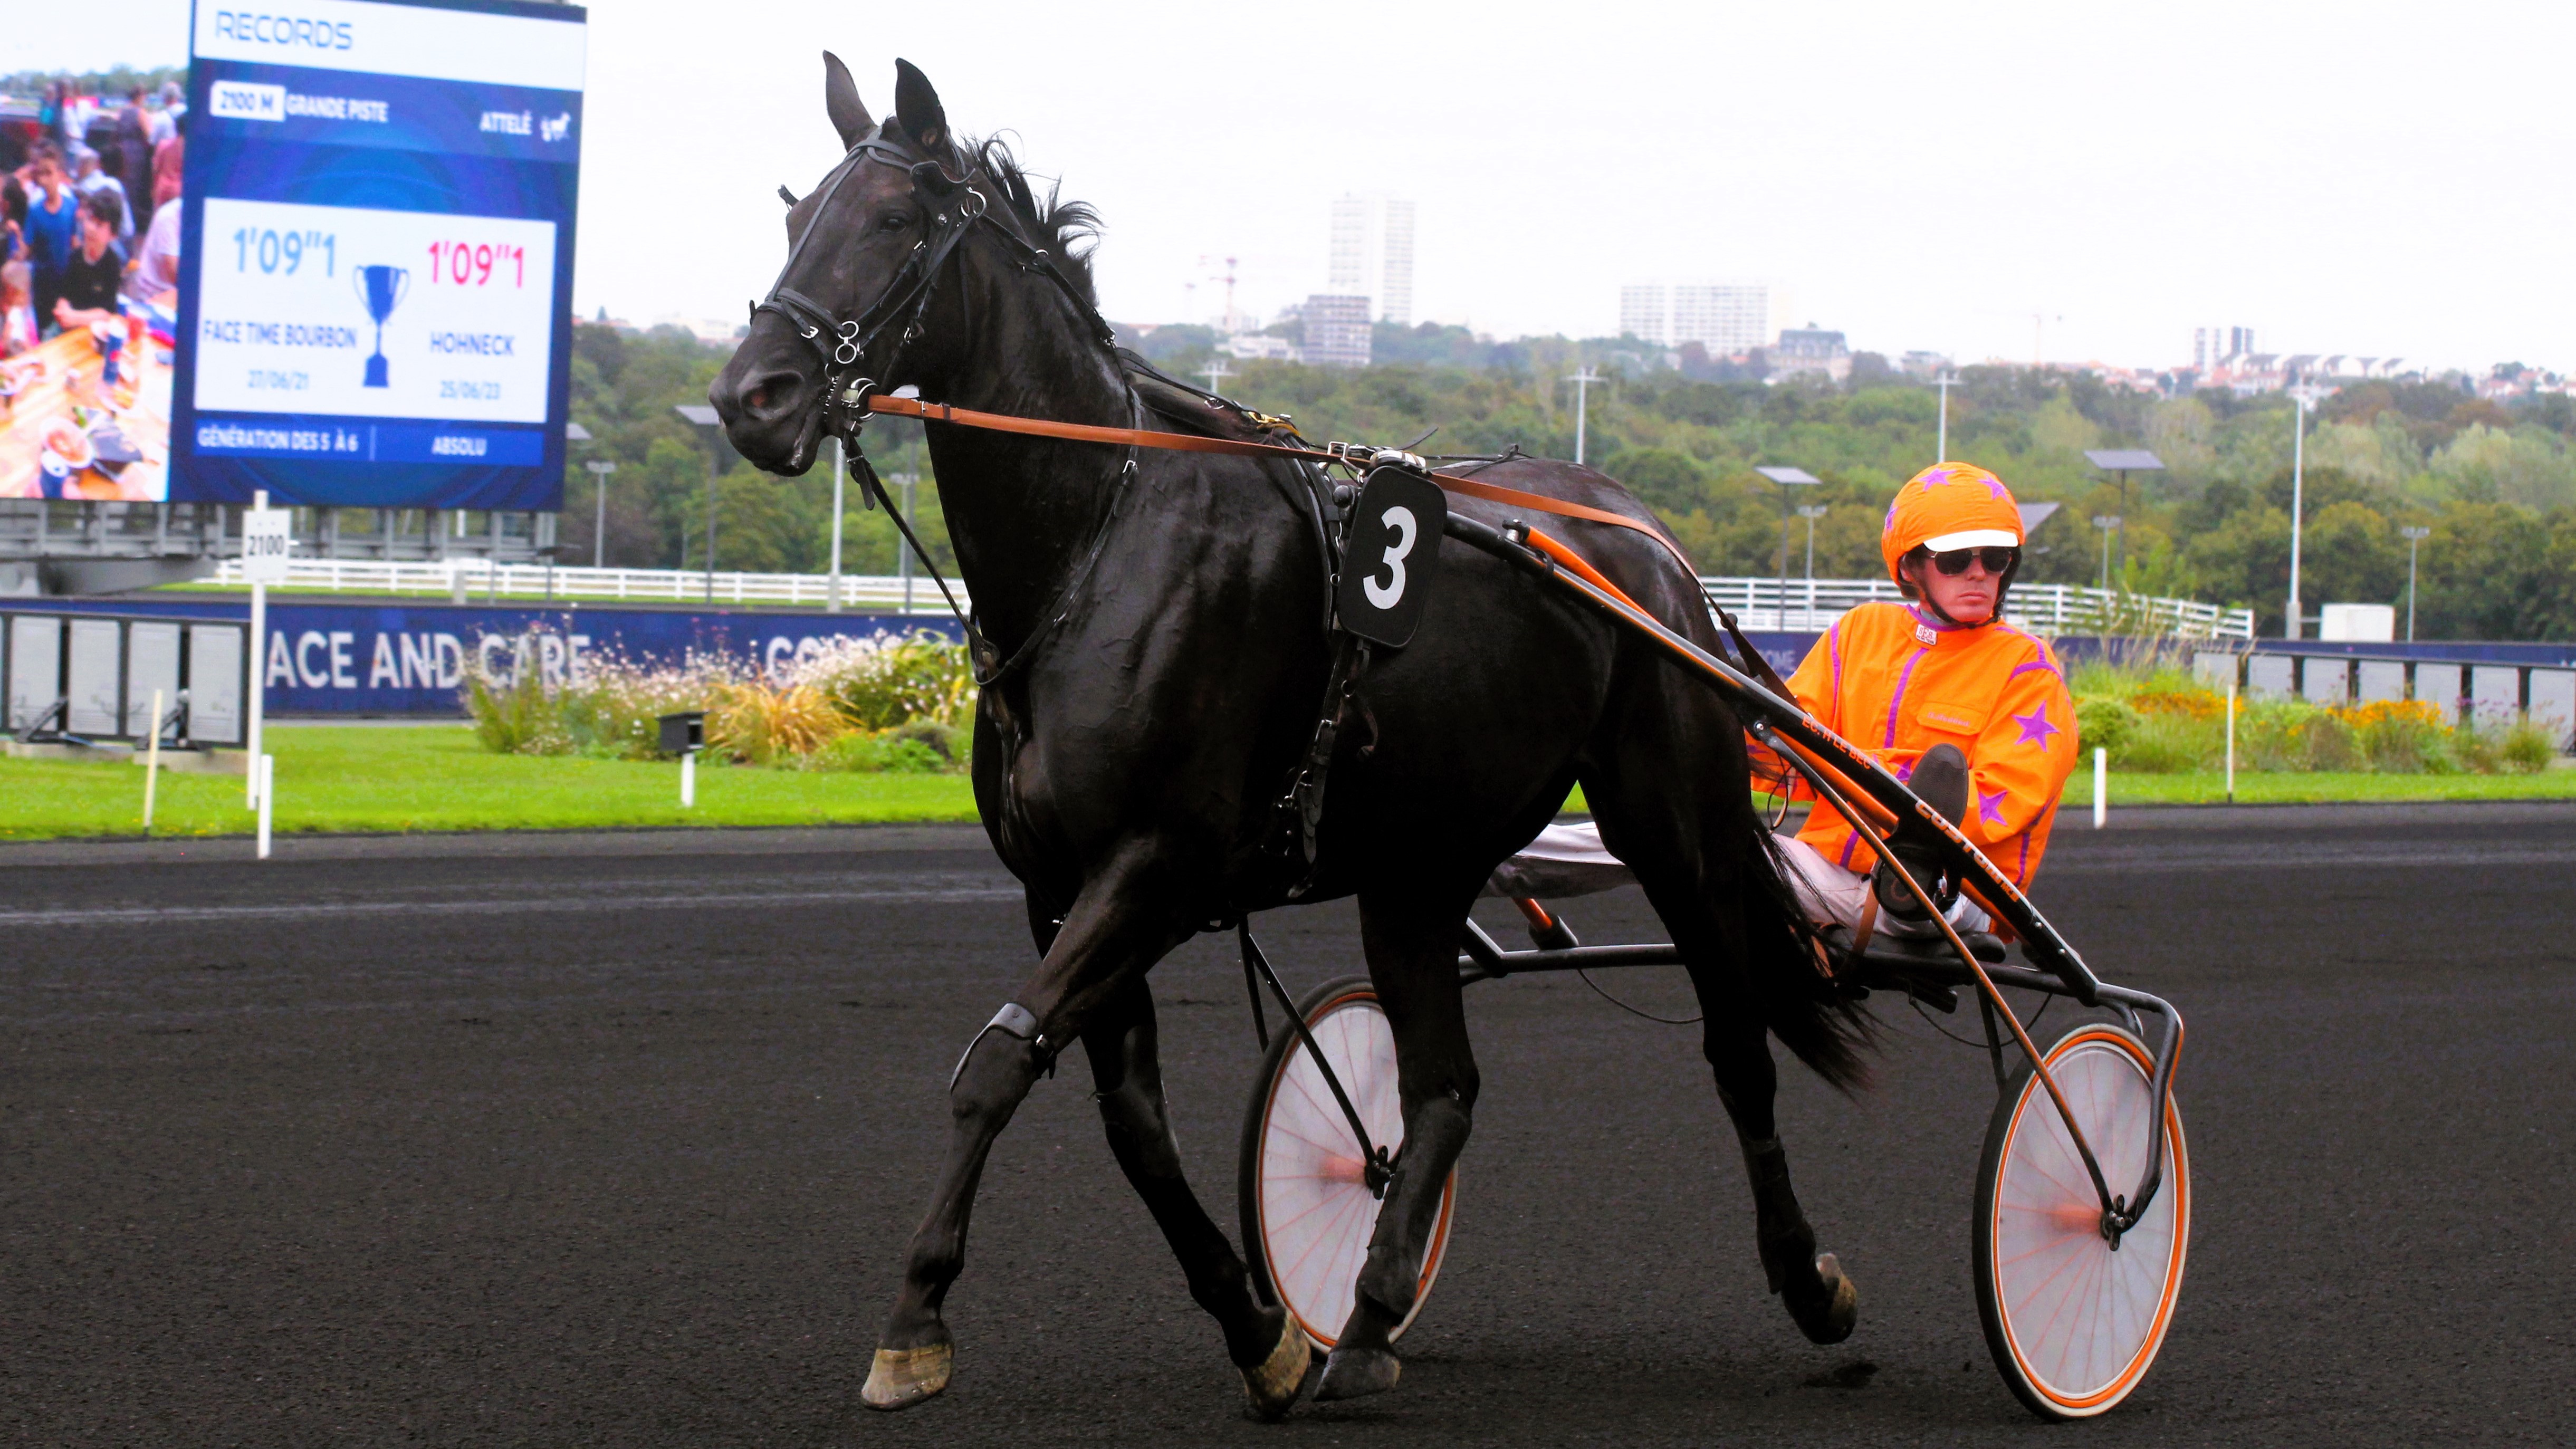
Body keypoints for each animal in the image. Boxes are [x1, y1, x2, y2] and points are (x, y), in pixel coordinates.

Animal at [716, 53, 1865, 1421]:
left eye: (892, 217)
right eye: (795, 215)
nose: (751, 396)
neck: (1098, 537)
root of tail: (1651, 541)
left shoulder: (1159, 861)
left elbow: (994, 1066)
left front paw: (913, 1322)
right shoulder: (1062, 885)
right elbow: (1130, 1118)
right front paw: (1261, 1327)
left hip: (1668, 818)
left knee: (1735, 1042)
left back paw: (1810, 1281)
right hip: (1418, 864)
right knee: (1441, 1086)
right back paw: (1364, 1320)